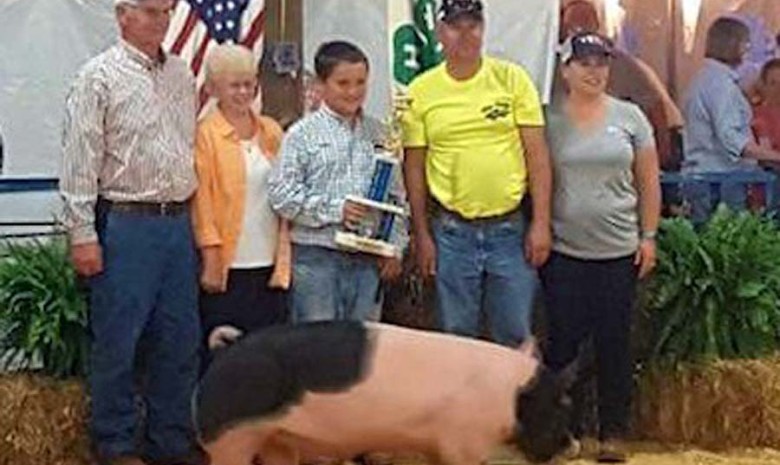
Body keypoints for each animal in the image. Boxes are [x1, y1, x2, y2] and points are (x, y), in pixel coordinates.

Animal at [193, 320, 572, 462]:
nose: (571, 445)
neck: (508, 393)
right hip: (231, 437)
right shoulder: (464, 443)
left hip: (276, 440)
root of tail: (227, 348)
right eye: (558, 402)